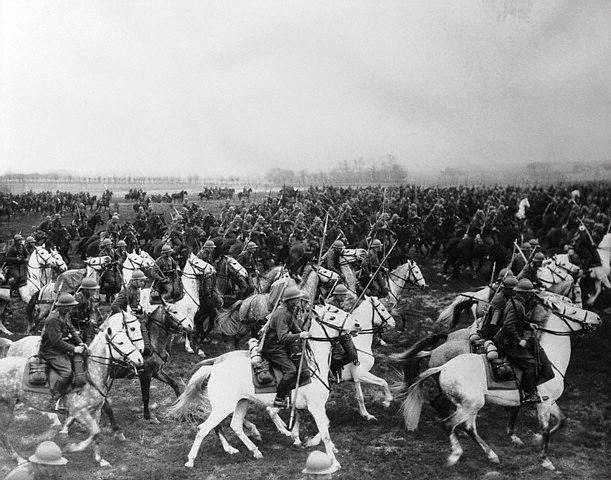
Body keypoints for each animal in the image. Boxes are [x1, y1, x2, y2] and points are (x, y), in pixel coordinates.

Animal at [0, 314, 144, 467]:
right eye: (121, 342)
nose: (140, 358)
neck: (91, 372)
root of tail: (12, 344)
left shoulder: (96, 411)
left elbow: (97, 434)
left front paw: (99, 459)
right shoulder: (79, 411)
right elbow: (95, 431)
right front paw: (72, 447)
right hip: (6, 406)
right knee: (3, 433)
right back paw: (19, 458)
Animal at [167, 302, 358, 472]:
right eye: (333, 316)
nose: (356, 324)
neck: (312, 365)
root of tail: (215, 366)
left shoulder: (308, 407)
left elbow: (322, 424)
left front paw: (308, 441)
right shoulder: (315, 407)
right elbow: (325, 432)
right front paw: (334, 462)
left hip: (242, 402)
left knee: (235, 425)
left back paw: (255, 450)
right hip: (223, 407)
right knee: (204, 429)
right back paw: (192, 460)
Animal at [400, 300, 601, 471]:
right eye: (573, 311)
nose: (598, 318)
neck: (550, 360)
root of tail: (444, 366)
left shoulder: (549, 401)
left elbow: (562, 420)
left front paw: (534, 440)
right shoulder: (543, 403)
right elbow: (545, 429)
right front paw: (545, 460)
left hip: (469, 405)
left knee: (466, 426)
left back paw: (491, 455)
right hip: (472, 404)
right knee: (450, 423)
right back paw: (456, 454)